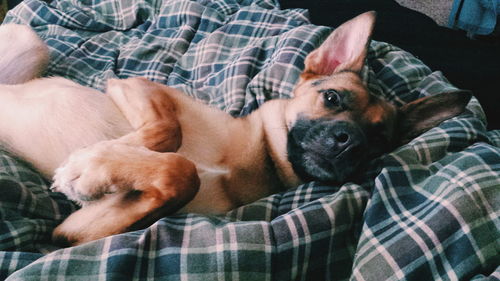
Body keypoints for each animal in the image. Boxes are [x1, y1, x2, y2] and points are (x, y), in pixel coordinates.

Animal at [0, 12, 472, 245]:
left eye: (379, 141)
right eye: (333, 99)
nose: (349, 143)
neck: (255, 158)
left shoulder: (74, 231)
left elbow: (180, 173)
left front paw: (102, 164)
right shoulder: (135, 85)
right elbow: (168, 136)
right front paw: (97, 159)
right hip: (29, 41)